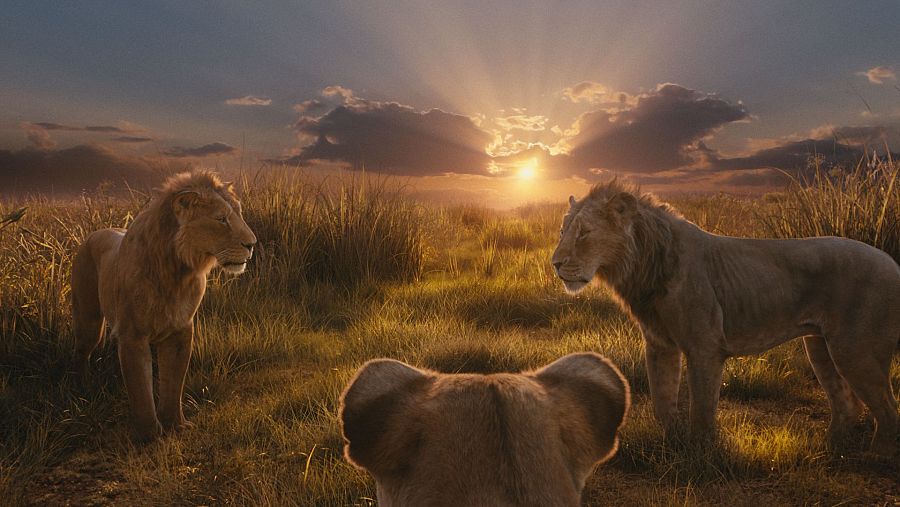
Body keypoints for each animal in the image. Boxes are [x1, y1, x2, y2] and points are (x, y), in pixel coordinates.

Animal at [71, 170, 257, 441]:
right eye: (221, 219)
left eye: (239, 214)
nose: (252, 244)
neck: (177, 272)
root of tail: (94, 233)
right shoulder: (133, 335)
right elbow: (140, 388)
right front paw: (149, 434)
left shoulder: (181, 330)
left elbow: (173, 383)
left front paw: (175, 425)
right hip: (89, 321)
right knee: (81, 352)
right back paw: (81, 390)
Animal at [551, 180, 900, 455]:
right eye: (562, 230)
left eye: (583, 233)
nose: (555, 264)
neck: (643, 265)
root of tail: (892, 262)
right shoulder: (660, 344)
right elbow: (662, 401)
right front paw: (673, 444)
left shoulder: (705, 347)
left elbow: (702, 409)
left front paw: (700, 454)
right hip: (819, 347)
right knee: (847, 403)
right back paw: (831, 450)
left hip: (854, 351)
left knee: (887, 409)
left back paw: (876, 458)